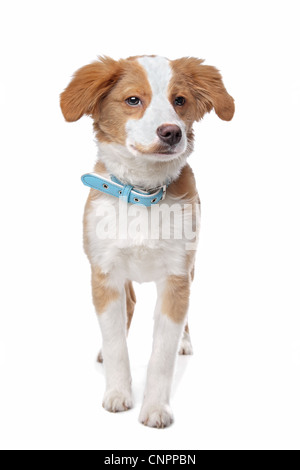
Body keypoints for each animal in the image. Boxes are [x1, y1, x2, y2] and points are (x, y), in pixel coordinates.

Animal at [60, 54, 234, 426]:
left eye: (179, 100)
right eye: (133, 100)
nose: (172, 132)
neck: (142, 193)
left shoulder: (176, 277)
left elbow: (163, 355)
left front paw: (155, 408)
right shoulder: (105, 274)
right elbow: (115, 344)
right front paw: (117, 394)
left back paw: (185, 341)